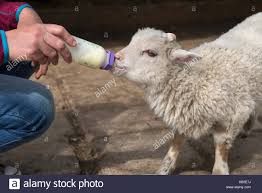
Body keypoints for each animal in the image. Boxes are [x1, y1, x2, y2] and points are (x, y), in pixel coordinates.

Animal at [111, 12, 262, 175]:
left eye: (151, 53)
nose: (116, 57)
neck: (196, 80)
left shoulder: (233, 114)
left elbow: (222, 145)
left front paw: (219, 170)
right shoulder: (183, 113)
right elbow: (176, 142)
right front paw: (165, 168)